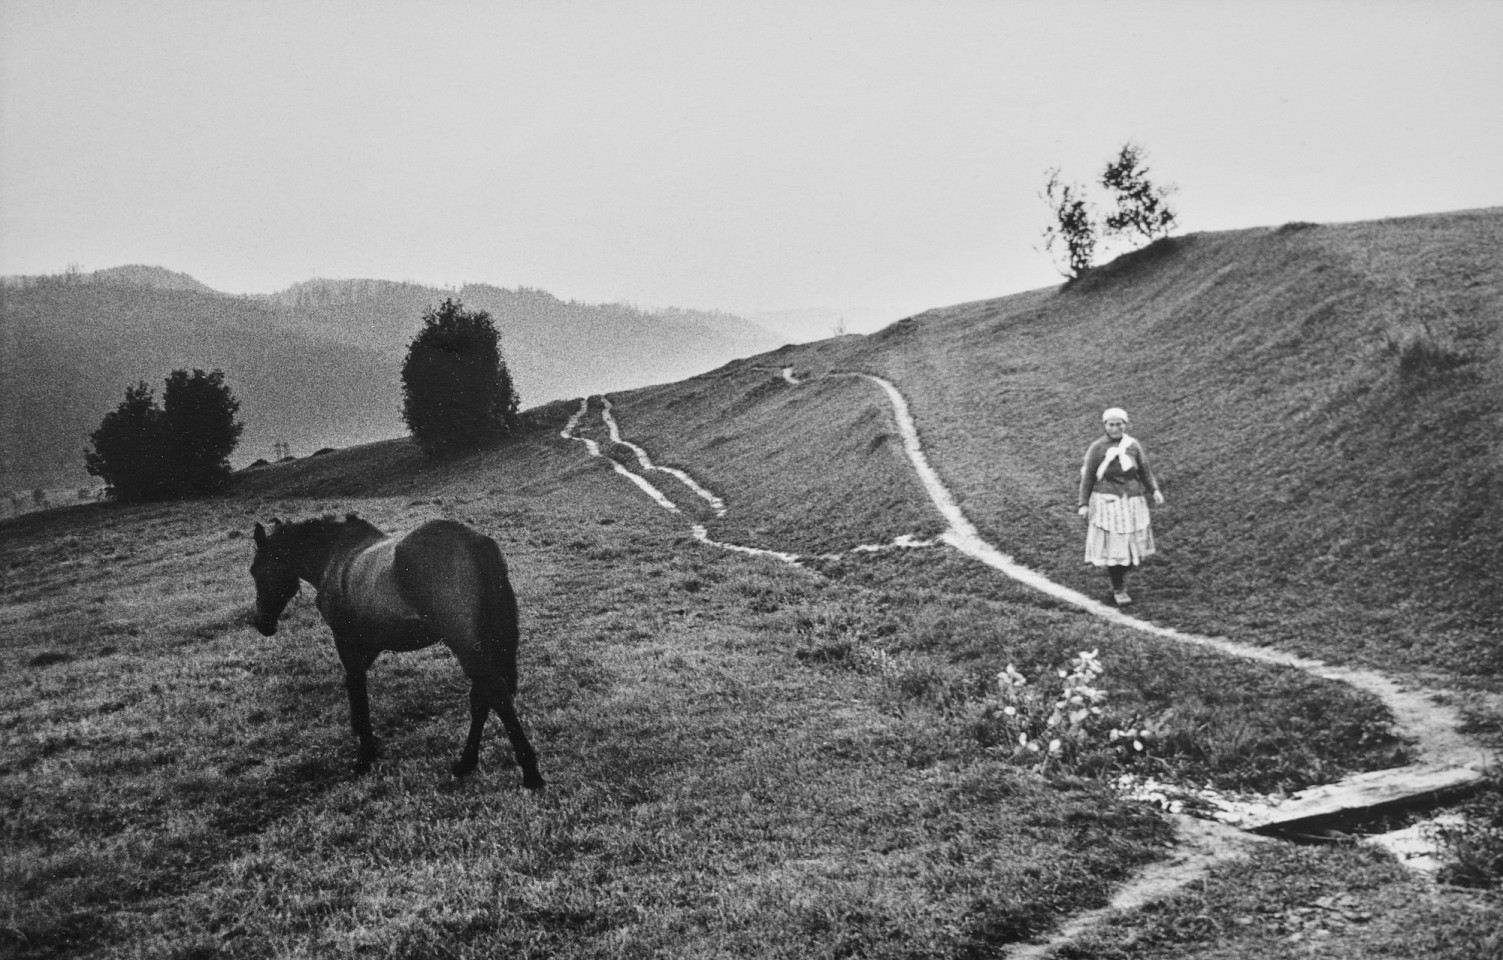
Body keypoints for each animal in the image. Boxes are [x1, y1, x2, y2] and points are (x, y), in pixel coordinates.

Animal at [249, 513, 544, 793]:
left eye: (255, 570)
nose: (262, 623)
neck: (335, 557)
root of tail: (474, 540)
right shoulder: (367, 646)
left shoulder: (346, 643)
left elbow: (357, 689)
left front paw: (365, 755)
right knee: (482, 696)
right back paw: (466, 763)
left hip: (464, 644)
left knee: (495, 693)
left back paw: (529, 771)